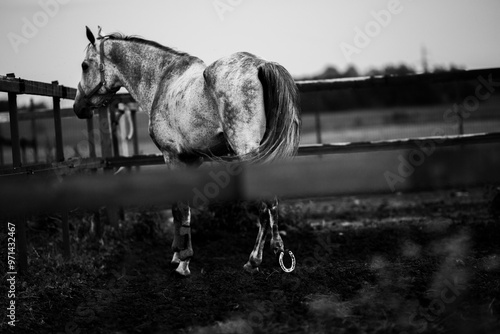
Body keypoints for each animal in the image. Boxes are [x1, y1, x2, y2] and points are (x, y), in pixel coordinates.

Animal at [73, 26, 300, 276]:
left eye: (84, 65)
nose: (77, 107)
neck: (161, 81)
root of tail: (261, 65)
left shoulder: (171, 155)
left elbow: (179, 207)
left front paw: (183, 259)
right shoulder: (191, 159)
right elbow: (185, 207)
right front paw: (179, 254)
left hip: (247, 152)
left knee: (263, 205)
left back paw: (254, 260)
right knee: (271, 202)